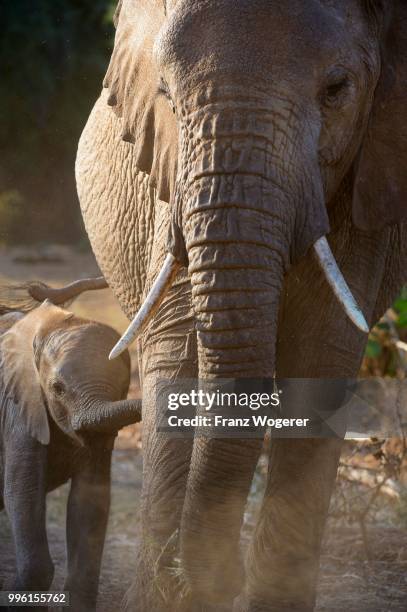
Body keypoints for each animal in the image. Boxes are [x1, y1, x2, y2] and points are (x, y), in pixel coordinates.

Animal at [76, 2, 407, 608]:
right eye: (165, 94)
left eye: (337, 89)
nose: (220, 571)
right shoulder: (171, 180)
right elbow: (180, 351)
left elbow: (320, 362)